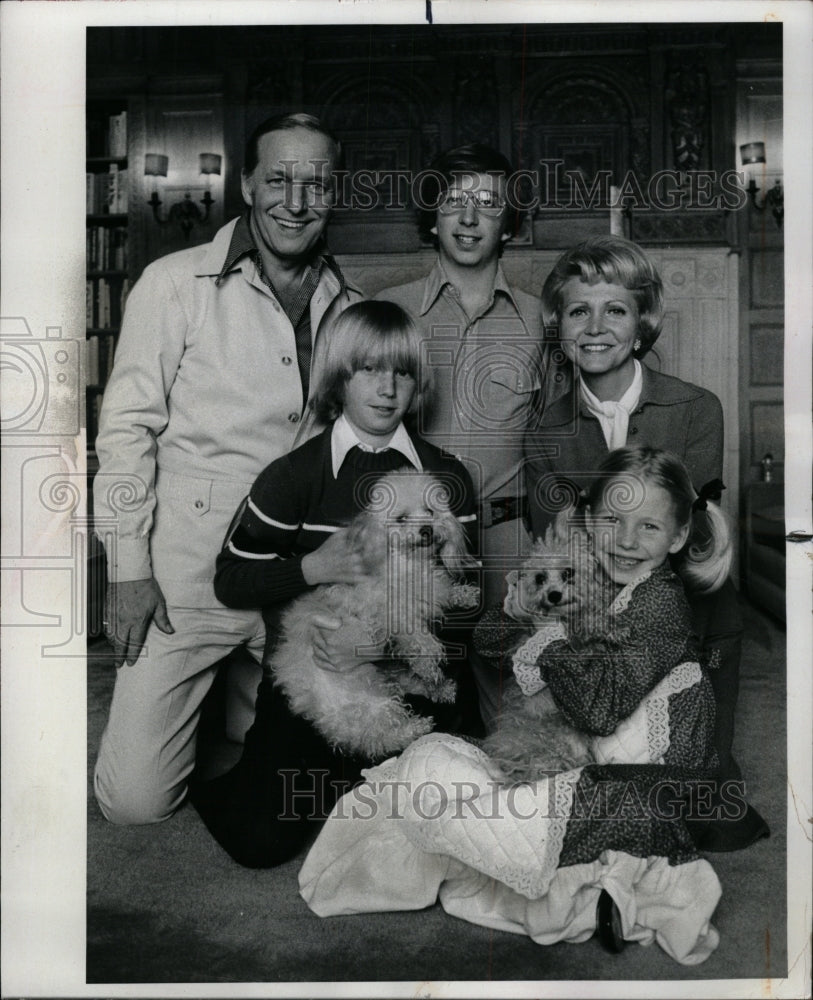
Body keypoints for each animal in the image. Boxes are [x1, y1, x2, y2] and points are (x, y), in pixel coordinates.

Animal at [266, 468, 478, 756]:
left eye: (430, 511)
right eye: (401, 518)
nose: (426, 530)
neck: (407, 563)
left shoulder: (432, 591)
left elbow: (447, 593)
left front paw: (466, 595)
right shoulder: (391, 613)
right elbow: (420, 641)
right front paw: (430, 661)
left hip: (385, 676)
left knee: (407, 685)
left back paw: (440, 688)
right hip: (370, 702)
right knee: (380, 737)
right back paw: (416, 727)